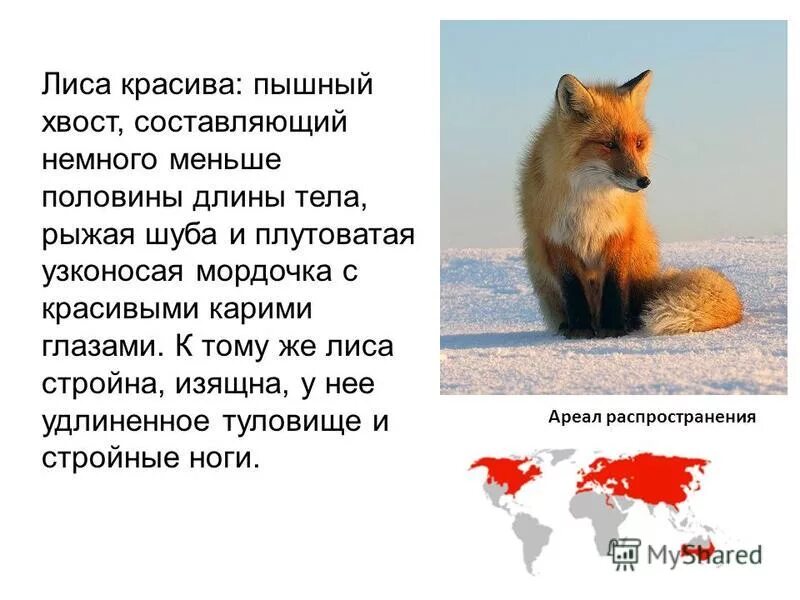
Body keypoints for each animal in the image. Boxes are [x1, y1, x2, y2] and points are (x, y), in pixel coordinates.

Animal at [518, 70, 742, 338]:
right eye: (609, 144)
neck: (591, 202)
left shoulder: (620, 234)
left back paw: (630, 322)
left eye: (638, 143)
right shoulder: (556, 240)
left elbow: (615, 287)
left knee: (637, 302)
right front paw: (580, 329)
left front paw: (614, 328)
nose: (644, 181)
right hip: (534, 258)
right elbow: (572, 291)